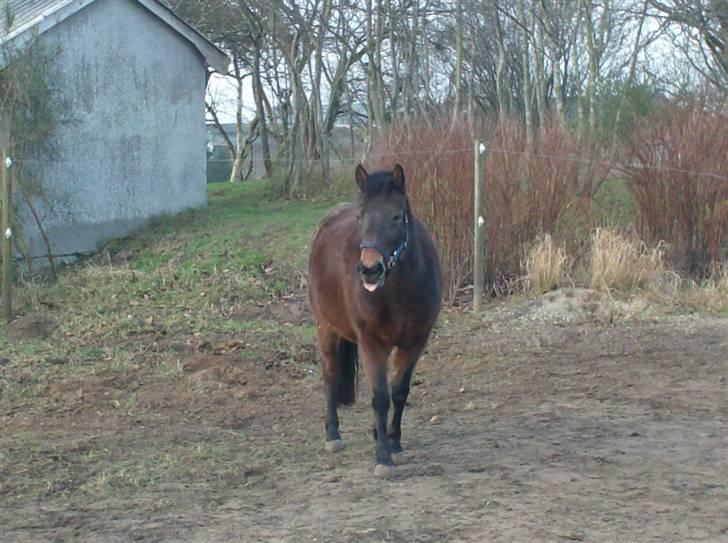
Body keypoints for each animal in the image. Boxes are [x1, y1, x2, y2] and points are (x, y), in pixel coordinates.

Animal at [308, 164, 442, 479]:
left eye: (396, 216)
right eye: (361, 216)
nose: (370, 269)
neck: (399, 291)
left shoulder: (415, 342)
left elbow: (399, 392)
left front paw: (394, 444)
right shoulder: (372, 343)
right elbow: (380, 397)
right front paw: (383, 457)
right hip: (325, 328)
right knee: (330, 374)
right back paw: (333, 435)